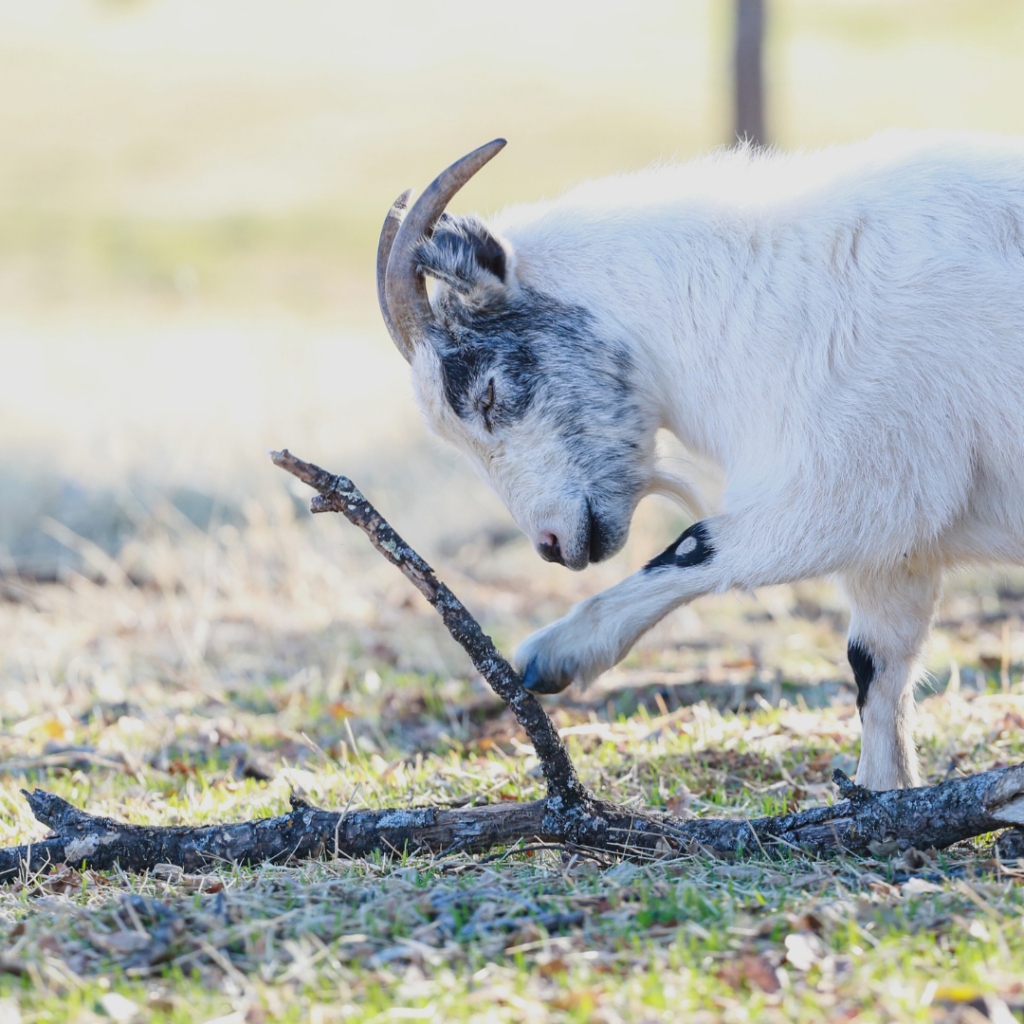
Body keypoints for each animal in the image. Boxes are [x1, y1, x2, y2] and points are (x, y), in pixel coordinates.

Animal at [374, 132, 1024, 790]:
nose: (552, 544)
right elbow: (876, 664)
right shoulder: (897, 545)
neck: (766, 297)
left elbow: (698, 543)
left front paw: (555, 654)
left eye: (488, 394)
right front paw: (880, 794)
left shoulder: (861, 486)